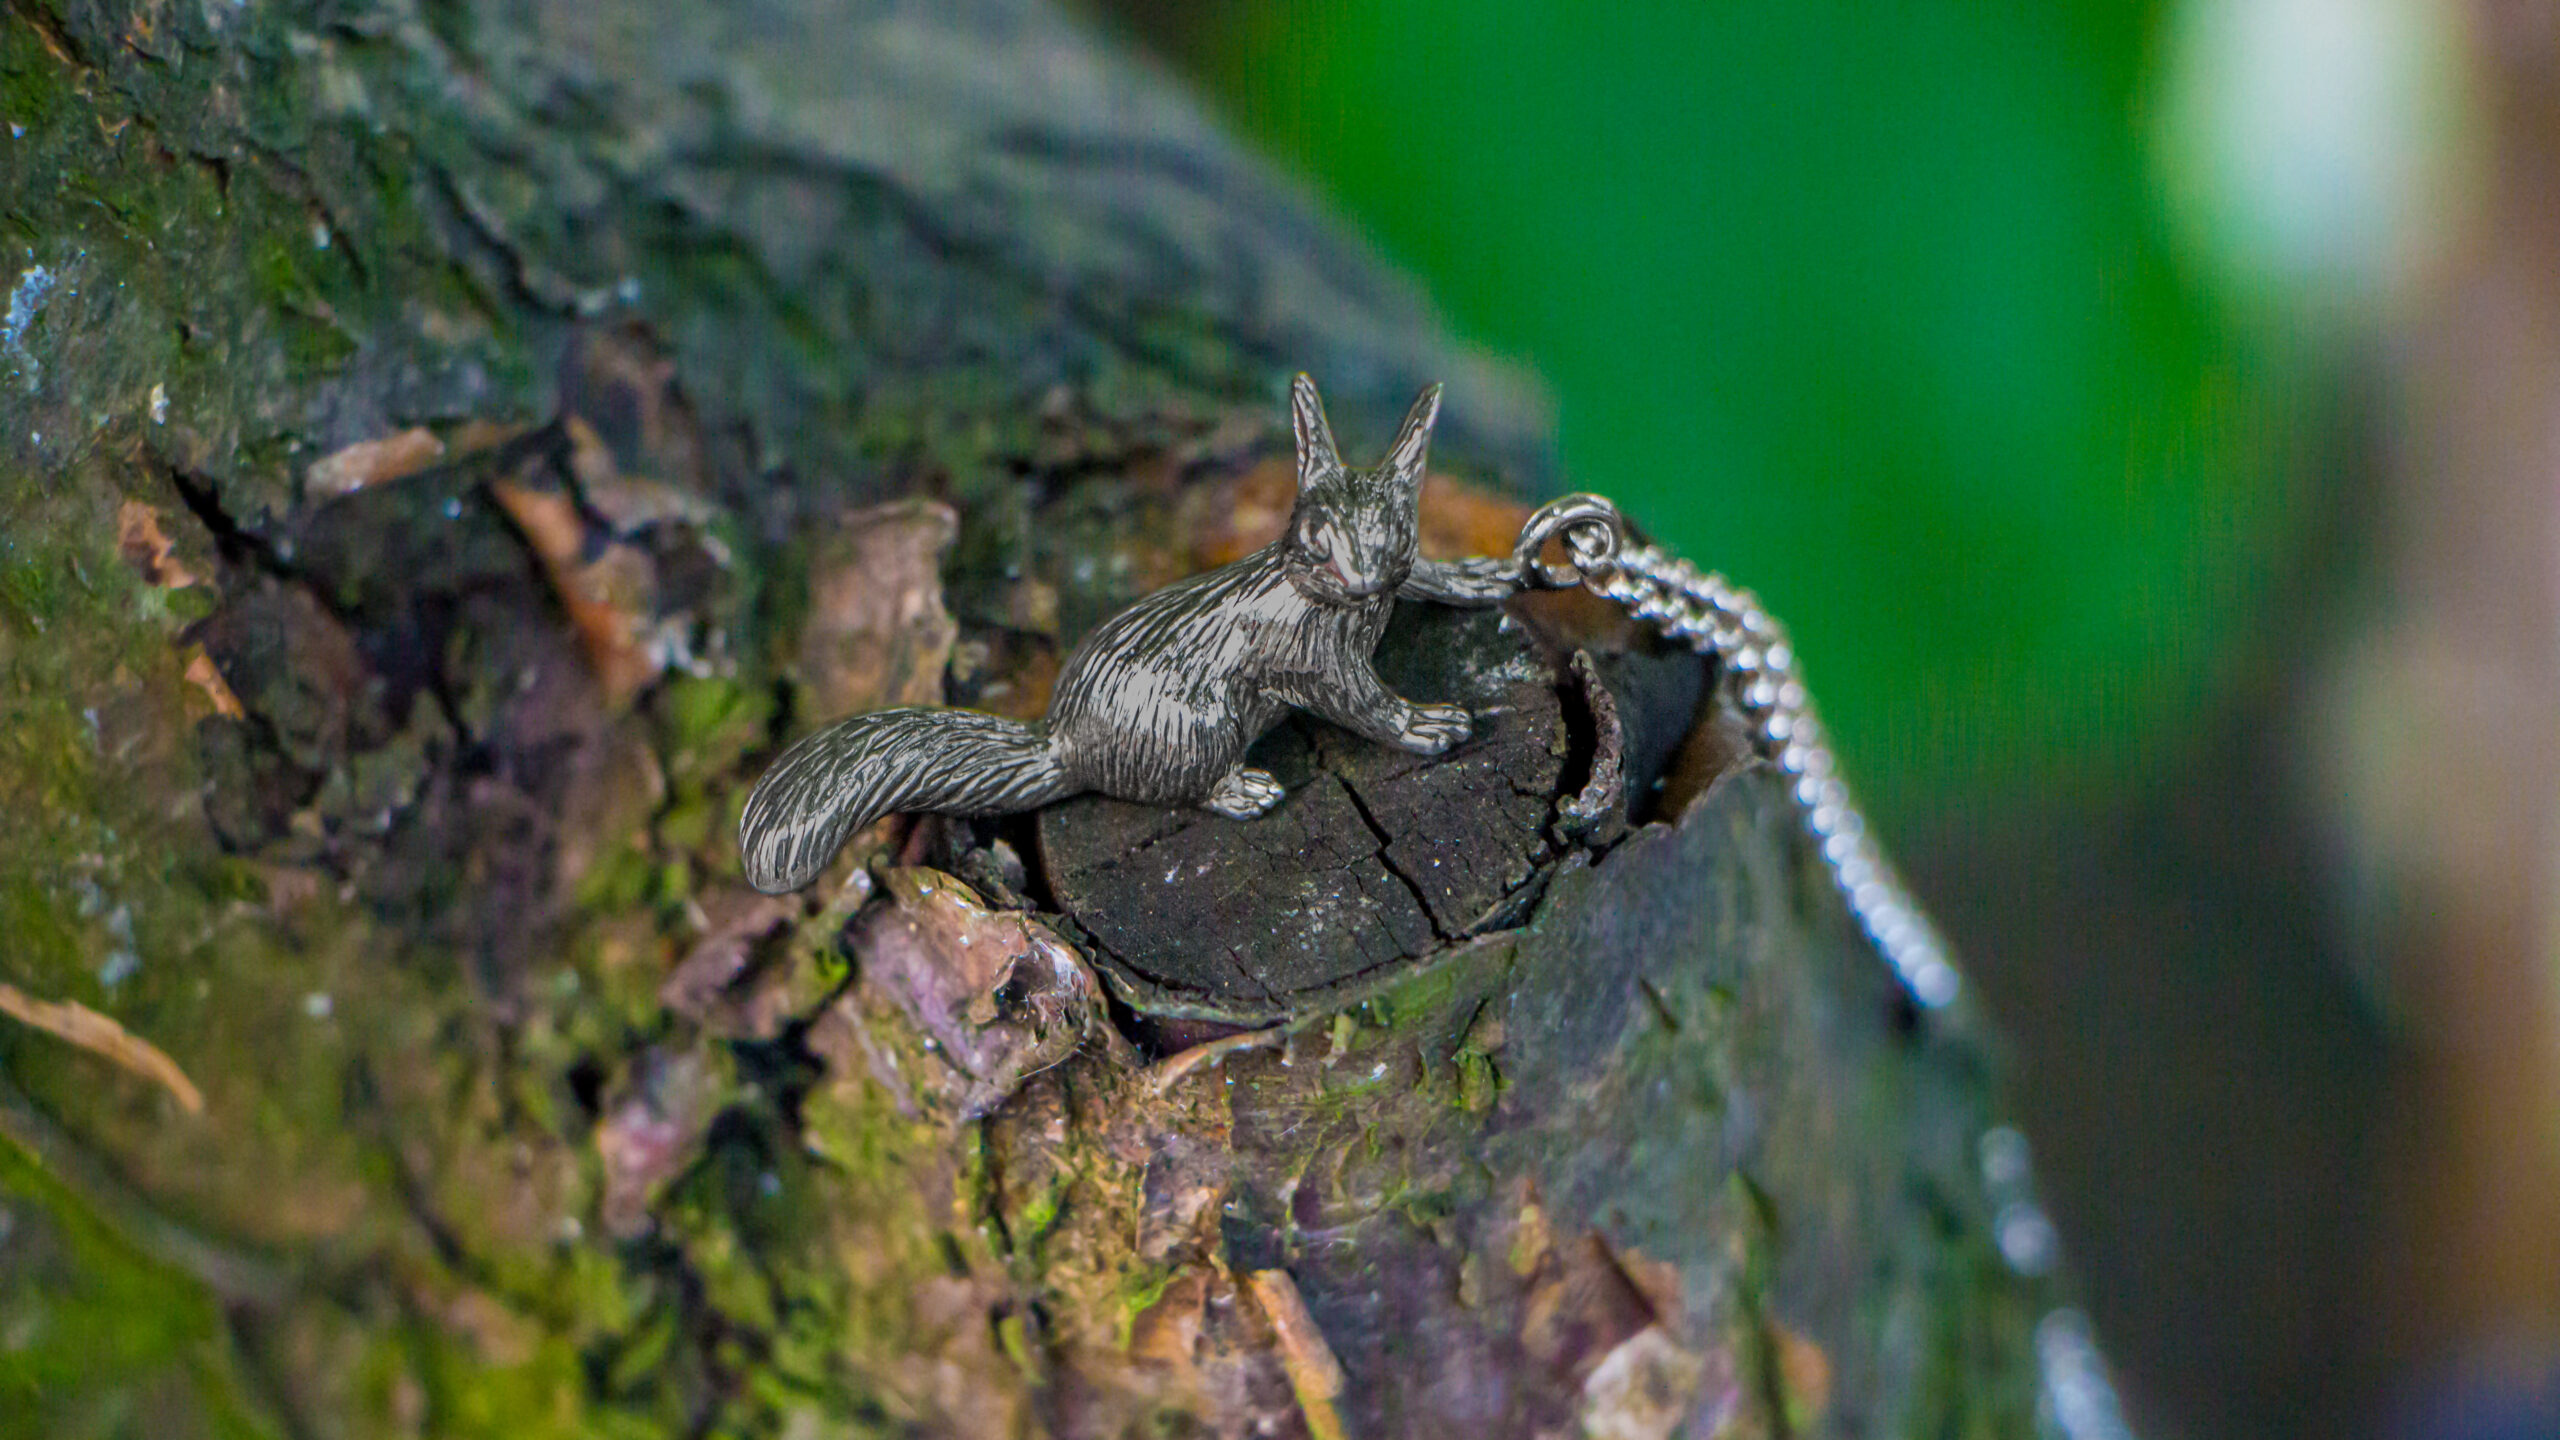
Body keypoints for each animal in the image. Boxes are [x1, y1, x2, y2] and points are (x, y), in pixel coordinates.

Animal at [738, 374, 1530, 894]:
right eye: (1312, 535)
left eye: (1395, 527)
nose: (1362, 579)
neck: (1335, 600)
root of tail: (1067, 746)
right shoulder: (1313, 662)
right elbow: (1364, 705)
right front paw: (1426, 724)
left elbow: (1424, 578)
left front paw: (1482, 577)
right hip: (1200, 724)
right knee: (1188, 787)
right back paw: (1242, 789)